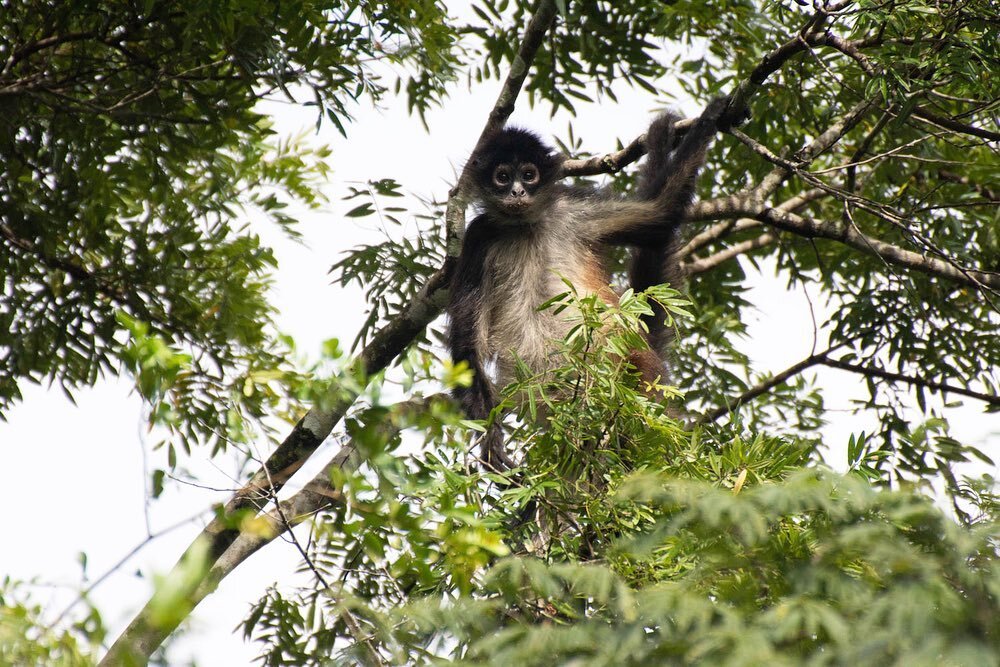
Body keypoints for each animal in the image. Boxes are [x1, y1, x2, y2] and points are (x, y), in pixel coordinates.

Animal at [450, 96, 732, 472]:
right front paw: (491, 443)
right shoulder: (478, 237)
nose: (517, 191)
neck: (524, 225)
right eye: (502, 177)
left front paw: (707, 116)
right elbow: (468, 349)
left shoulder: (572, 208)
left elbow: (659, 215)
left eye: (529, 174)